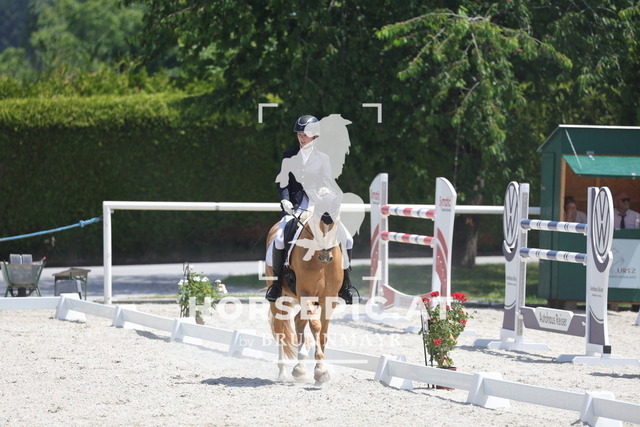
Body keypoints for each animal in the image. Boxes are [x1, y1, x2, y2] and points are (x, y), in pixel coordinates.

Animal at [265, 211, 344, 384]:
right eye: (315, 224)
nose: (325, 256)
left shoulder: (329, 300)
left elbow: (323, 333)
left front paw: (320, 371)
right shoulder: (305, 294)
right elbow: (315, 326)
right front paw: (320, 370)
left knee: (297, 321)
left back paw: (300, 368)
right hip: (279, 299)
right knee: (280, 331)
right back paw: (283, 373)